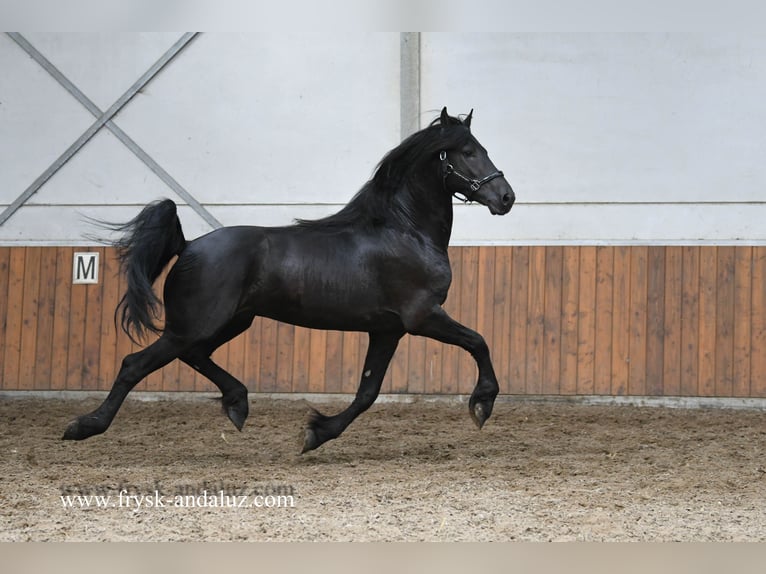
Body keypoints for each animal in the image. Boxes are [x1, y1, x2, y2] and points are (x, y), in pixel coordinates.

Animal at [63, 107, 515, 453]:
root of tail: (188, 245)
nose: (506, 198)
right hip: (197, 324)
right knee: (135, 364)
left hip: (228, 321)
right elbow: (479, 341)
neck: (404, 230)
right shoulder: (422, 317)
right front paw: (482, 404)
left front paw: (317, 433)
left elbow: (367, 392)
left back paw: (237, 404)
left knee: (194, 355)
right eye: (469, 152)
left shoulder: (387, 330)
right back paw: (84, 426)